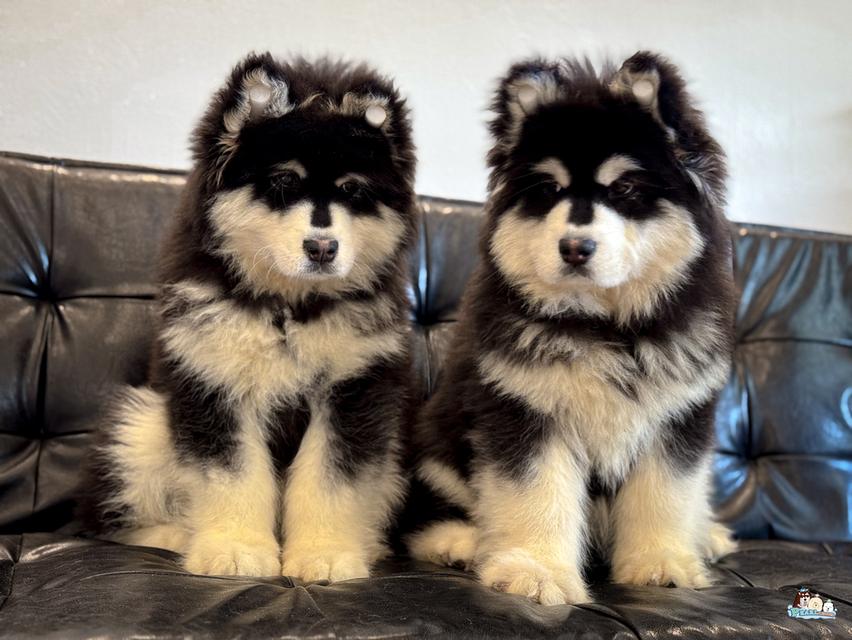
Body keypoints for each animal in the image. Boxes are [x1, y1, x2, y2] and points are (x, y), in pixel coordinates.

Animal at [79, 52, 417, 582]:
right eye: (283, 181)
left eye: (353, 190)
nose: (322, 248)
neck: (289, 308)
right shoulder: (213, 380)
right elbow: (232, 475)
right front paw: (236, 550)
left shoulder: (353, 390)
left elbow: (330, 480)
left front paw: (324, 554)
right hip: (139, 428)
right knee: (115, 519)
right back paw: (176, 536)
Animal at [407, 52, 737, 604]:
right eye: (549, 190)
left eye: (625, 188)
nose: (575, 248)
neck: (605, 326)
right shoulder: (526, 412)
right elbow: (536, 495)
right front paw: (535, 570)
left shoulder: (675, 419)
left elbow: (664, 495)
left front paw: (660, 561)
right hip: (437, 448)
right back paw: (461, 542)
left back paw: (705, 535)